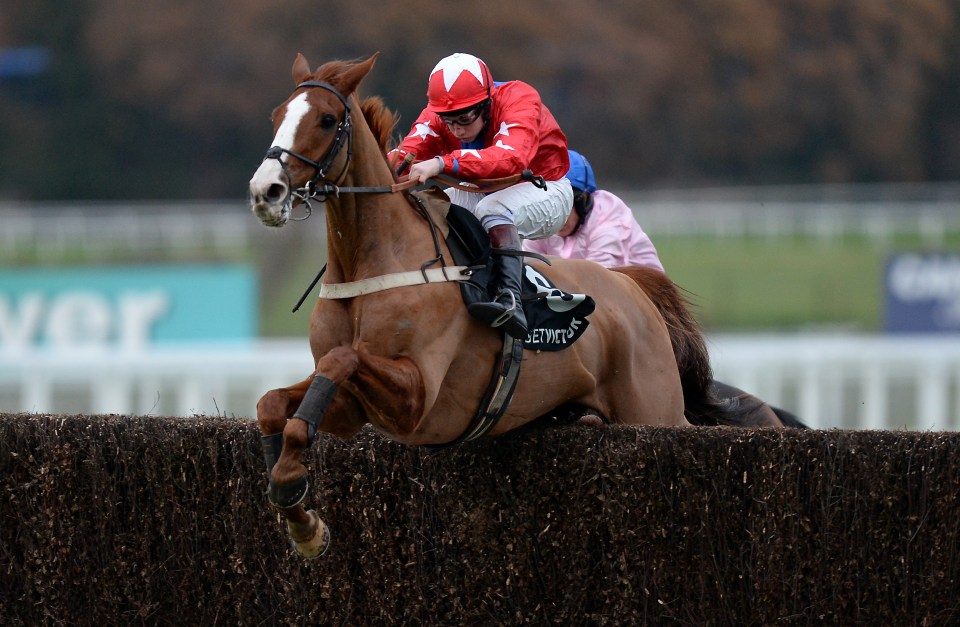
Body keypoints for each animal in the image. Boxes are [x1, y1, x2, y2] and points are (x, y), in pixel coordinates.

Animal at [251, 54, 792, 560]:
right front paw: (297, 509)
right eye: (276, 114)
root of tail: (630, 286)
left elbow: (341, 360)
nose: (265, 192)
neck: (373, 265)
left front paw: (298, 502)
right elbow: (275, 404)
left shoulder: (417, 399)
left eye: (325, 119)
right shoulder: (353, 409)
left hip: (653, 411)